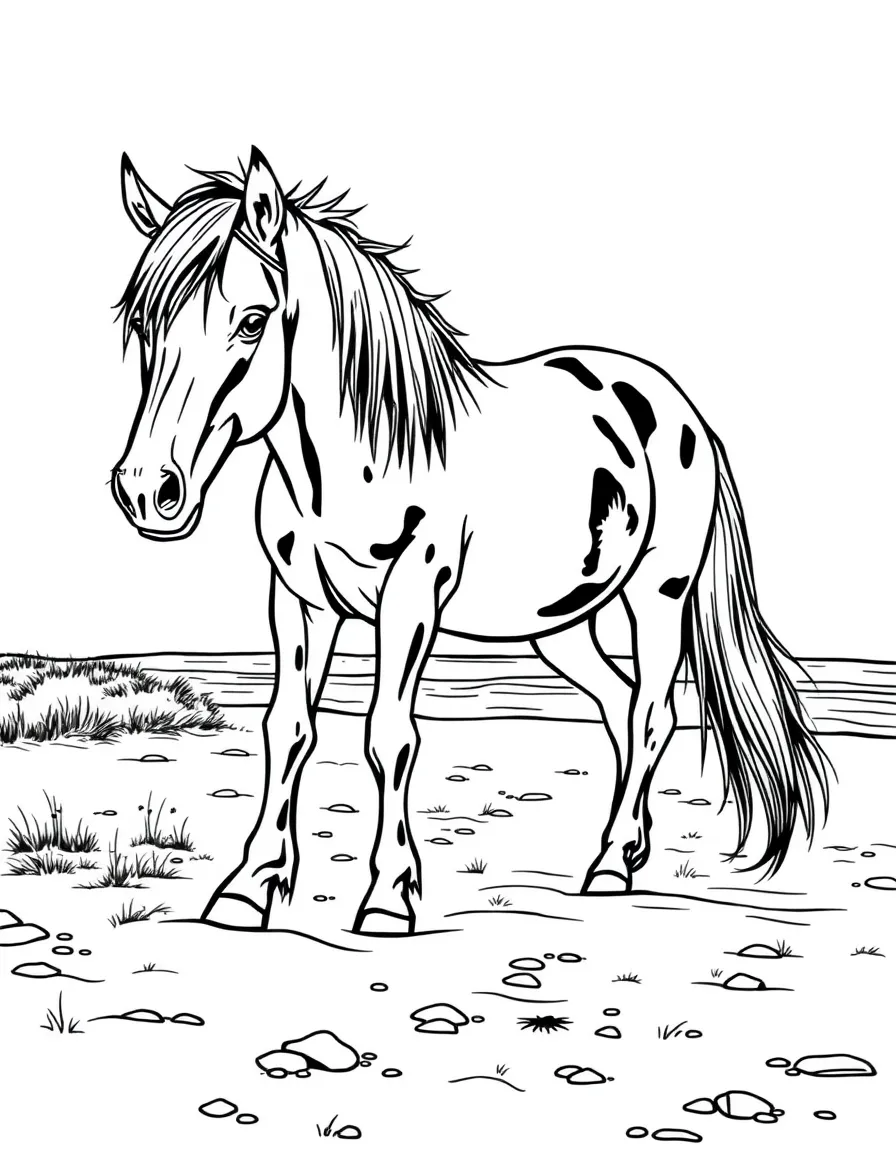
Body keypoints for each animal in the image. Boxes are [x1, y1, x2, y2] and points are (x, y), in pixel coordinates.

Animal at [112, 148, 831, 935]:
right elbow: (288, 729)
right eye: (144, 320)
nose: (147, 489)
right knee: (618, 704)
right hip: (560, 623)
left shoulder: (411, 594)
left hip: (657, 595)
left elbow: (390, 734)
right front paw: (248, 887)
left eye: (251, 320)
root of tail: (677, 404)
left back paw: (610, 866)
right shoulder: (301, 602)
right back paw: (626, 851)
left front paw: (388, 896)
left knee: (651, 713)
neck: (346, 460)